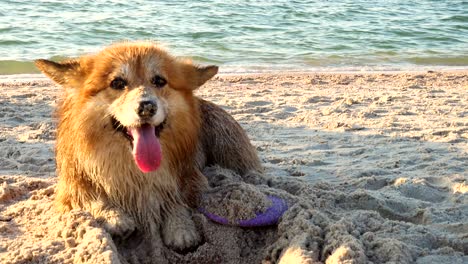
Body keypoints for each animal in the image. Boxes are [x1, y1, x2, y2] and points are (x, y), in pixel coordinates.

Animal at [35, 41, 264, 250]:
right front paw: (113, 216)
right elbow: (89, 195)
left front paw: (180, 227)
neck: (135, 169)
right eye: (117, 83)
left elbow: (175, 198)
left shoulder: (189, 178)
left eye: (159, 80)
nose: (146, 107)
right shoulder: (72, 184)